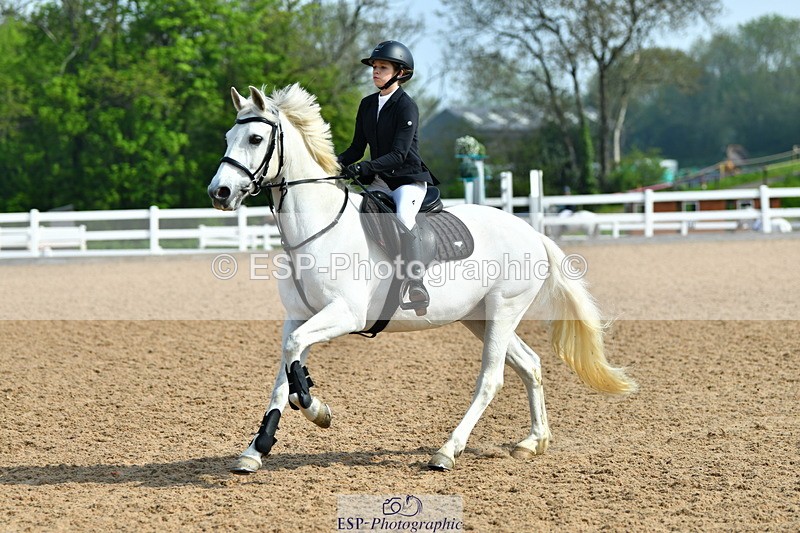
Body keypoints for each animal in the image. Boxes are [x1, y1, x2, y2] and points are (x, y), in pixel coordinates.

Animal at [207, 84, 637, 474]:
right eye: (228, 137)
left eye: (256, 138)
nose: (219, 192)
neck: (317, 228)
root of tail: (532, 232)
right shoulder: (297, 316)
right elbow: (284, 373)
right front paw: (256, 449)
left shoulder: (344, 314)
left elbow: (295, 363)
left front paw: (317, 409)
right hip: (480, 317)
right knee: (529, 364)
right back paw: (533, 442)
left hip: (504, 310)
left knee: (492, 378)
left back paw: (447, 451)